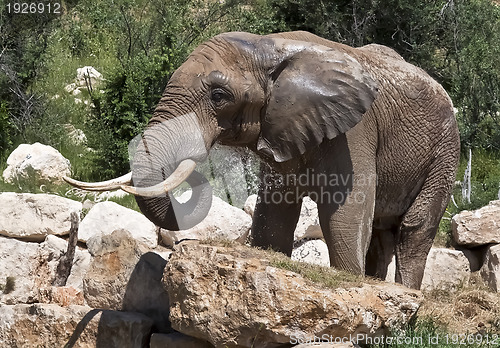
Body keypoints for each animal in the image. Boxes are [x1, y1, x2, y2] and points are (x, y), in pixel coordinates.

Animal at [64, 31, 458, 290]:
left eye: (219, 96)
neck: (271, 45)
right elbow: (275, 213)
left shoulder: (356, 132)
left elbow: (346, 213)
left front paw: (351, 282)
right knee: (381, 235)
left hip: (444, 152)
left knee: (414, 230)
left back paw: (406, 293)